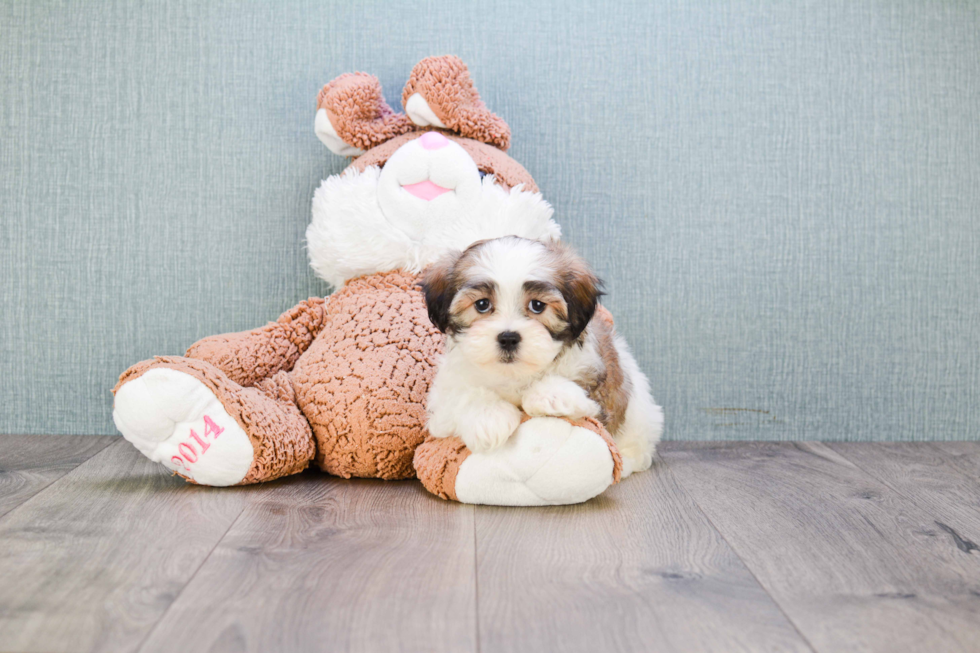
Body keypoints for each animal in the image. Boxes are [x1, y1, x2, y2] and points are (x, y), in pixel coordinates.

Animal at [422, 234, 668, 474]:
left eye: (537, 306)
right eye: (482, 304)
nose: (508, 337)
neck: (513, 374)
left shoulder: (595, 390)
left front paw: (549, 397)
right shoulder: (444, 399)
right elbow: (463, 395)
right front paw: (489, 418)